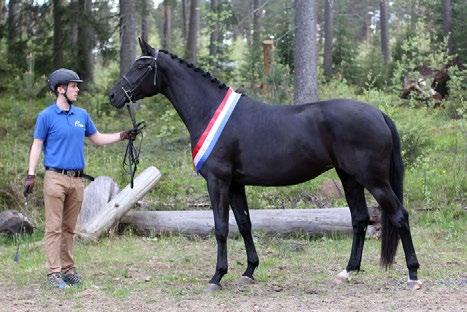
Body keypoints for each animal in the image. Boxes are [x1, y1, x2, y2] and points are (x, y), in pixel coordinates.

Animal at [110, 38, 424, 290]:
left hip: (374, 180)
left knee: (399, 215)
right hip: (349, 177)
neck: (209, 111)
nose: (113, 95)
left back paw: (413, 275)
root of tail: (378, 113)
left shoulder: (218, 180)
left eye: (141, 66)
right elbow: (245, 224)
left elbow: (220, 227)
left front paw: (217, 277)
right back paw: (348, 271)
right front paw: (248, 271)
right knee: (359, 219)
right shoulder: (236, 184)